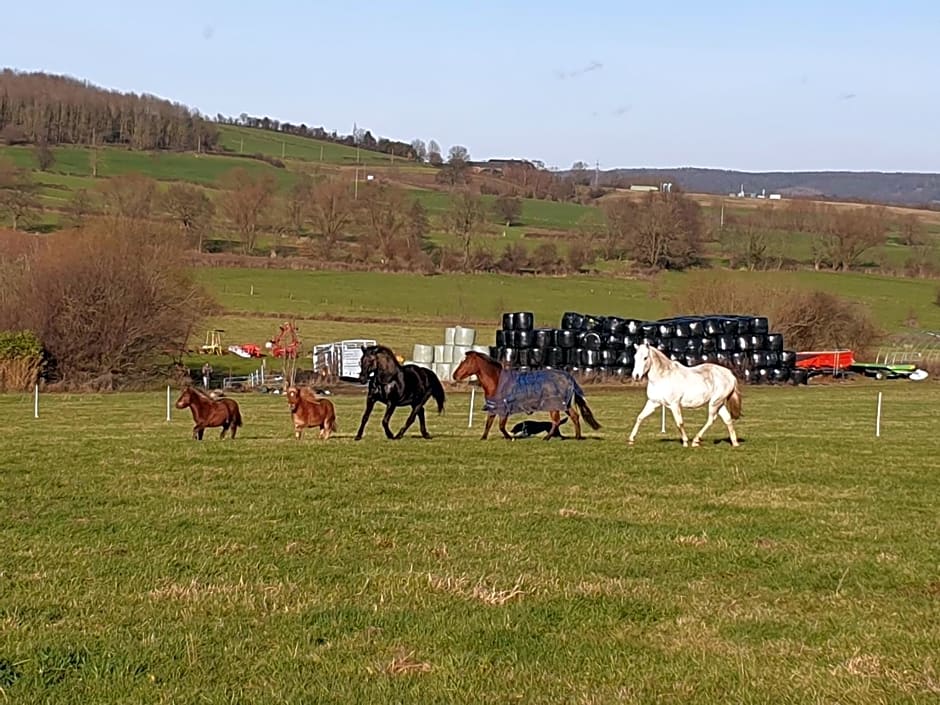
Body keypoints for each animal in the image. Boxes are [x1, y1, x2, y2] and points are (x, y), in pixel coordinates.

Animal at [452, 350, 600, 440]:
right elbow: (489, 424)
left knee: (556, 420)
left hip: (554, 406)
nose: (455, 375)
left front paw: (510, 437)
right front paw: (483, 437)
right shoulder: (494, 407)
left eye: (466, 362)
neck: (497, 381)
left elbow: (501, 426)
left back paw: (547, 437)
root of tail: (567, 377)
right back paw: (577, 436)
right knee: (574, 416)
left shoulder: (504, 409)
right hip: (565, 405)